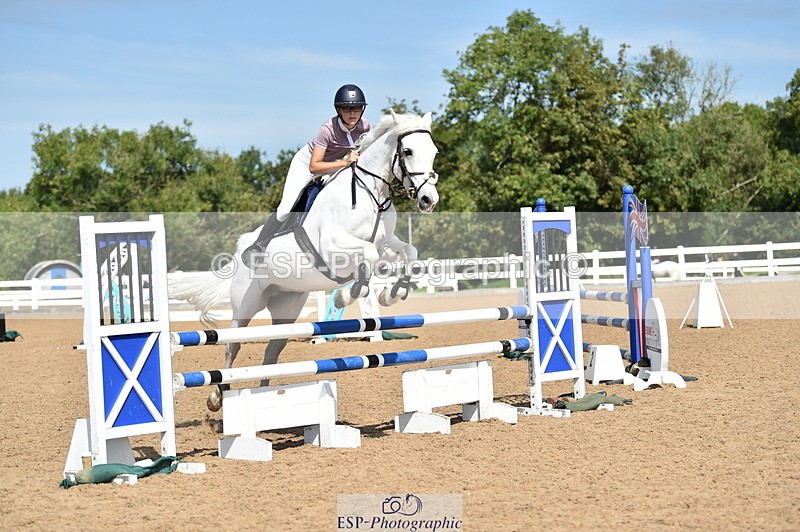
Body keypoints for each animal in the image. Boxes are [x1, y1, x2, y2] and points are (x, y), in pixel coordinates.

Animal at [169, 111, 440, 411]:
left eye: (434, 152)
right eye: (408, 151)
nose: (428, 200)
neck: (371, 194)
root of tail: (241, 249)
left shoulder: (386, 245)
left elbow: (408, 253)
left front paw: (392, 294)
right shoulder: (333, 245)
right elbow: (366, 256)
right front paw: (344, 296)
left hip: (287, 308)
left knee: (272, 351)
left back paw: (265, 394)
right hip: (246, 305)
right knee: (233, 345)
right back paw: (218, 397)